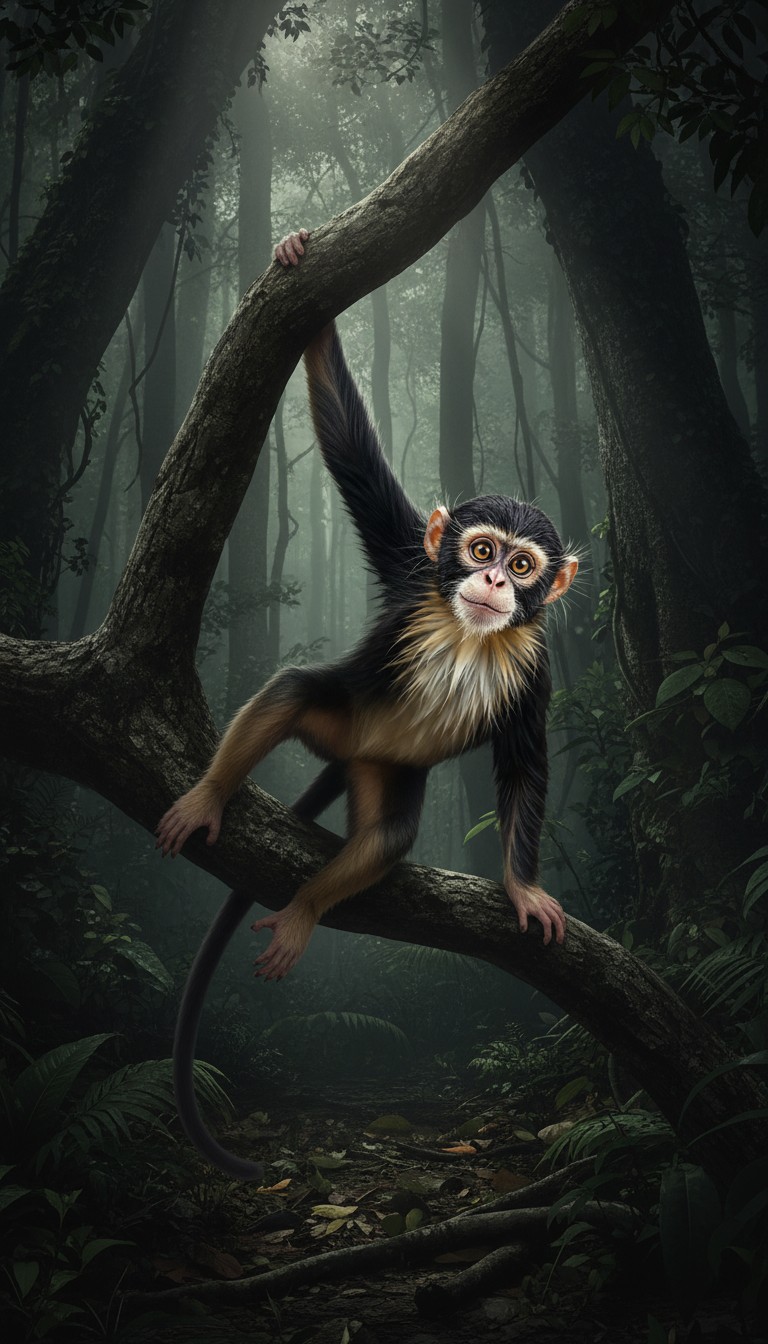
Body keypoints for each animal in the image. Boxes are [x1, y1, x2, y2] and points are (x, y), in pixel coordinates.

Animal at [157, 231, 578, 1177]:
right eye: (481, 549)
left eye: (524, 565)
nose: (496, 583)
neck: (467, 635)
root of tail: (353, 756)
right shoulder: (407, 563)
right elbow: (352, 454)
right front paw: (304, 282)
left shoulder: (535, 668)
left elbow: (525, 760)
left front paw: (523, 886)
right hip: (341, 719)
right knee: (291, 692)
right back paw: (211, 794)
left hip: (384, 769)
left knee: (388, 837)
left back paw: (309, 907)